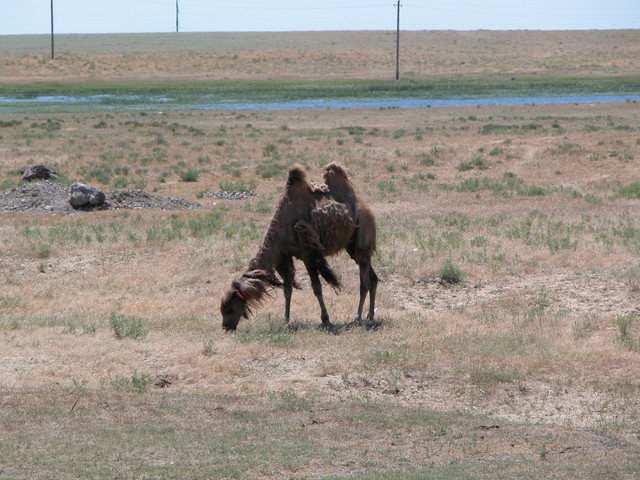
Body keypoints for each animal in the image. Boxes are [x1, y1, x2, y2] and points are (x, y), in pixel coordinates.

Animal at [220, 162, 378, 331]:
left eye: (228, 308)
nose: (226, 327)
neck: (281, 227)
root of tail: (367, 208)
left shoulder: (308, 255)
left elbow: (316, 288)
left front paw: (326, 319)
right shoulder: (284, 255)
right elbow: (287, 289)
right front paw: (286, 320)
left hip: (362, 235)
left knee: (364, 282)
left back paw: (358, 318)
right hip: (351, 246)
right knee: (372, 277)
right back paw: (370, 316)